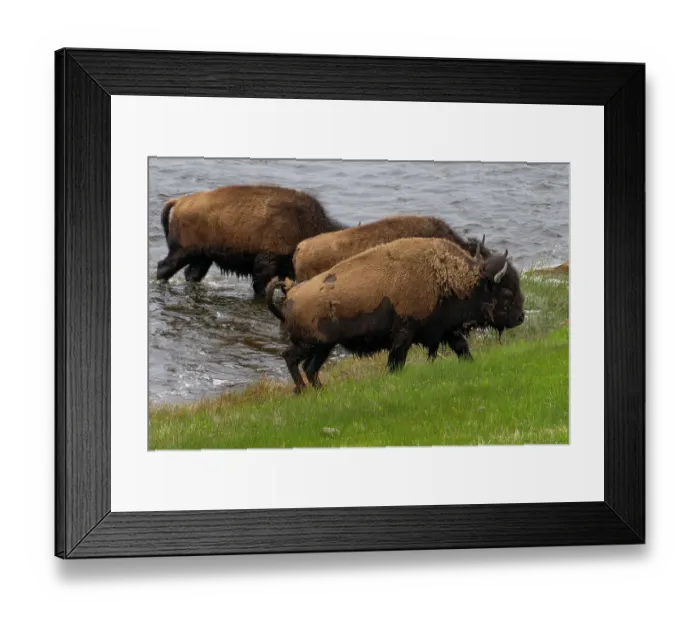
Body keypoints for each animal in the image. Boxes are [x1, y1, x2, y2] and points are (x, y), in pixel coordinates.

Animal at [156, 184, 344, 296]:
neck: (301, 222)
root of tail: (180, 201)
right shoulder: (267, 262)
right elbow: (261, 286)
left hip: (202, 257)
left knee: (192, 273)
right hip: (182, 252)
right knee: (164, 267)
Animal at [266, 237, 525, 393]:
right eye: (507, 291)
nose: (521, 317)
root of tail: (291, 294)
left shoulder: (446, 329)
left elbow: (462, 348)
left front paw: (471, 364)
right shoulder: (404, 334)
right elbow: (396, 362)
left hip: (324, 347)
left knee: (310, 368)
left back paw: (320, 391)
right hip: (312, 344)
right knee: (291, 358)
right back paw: (302, 391)